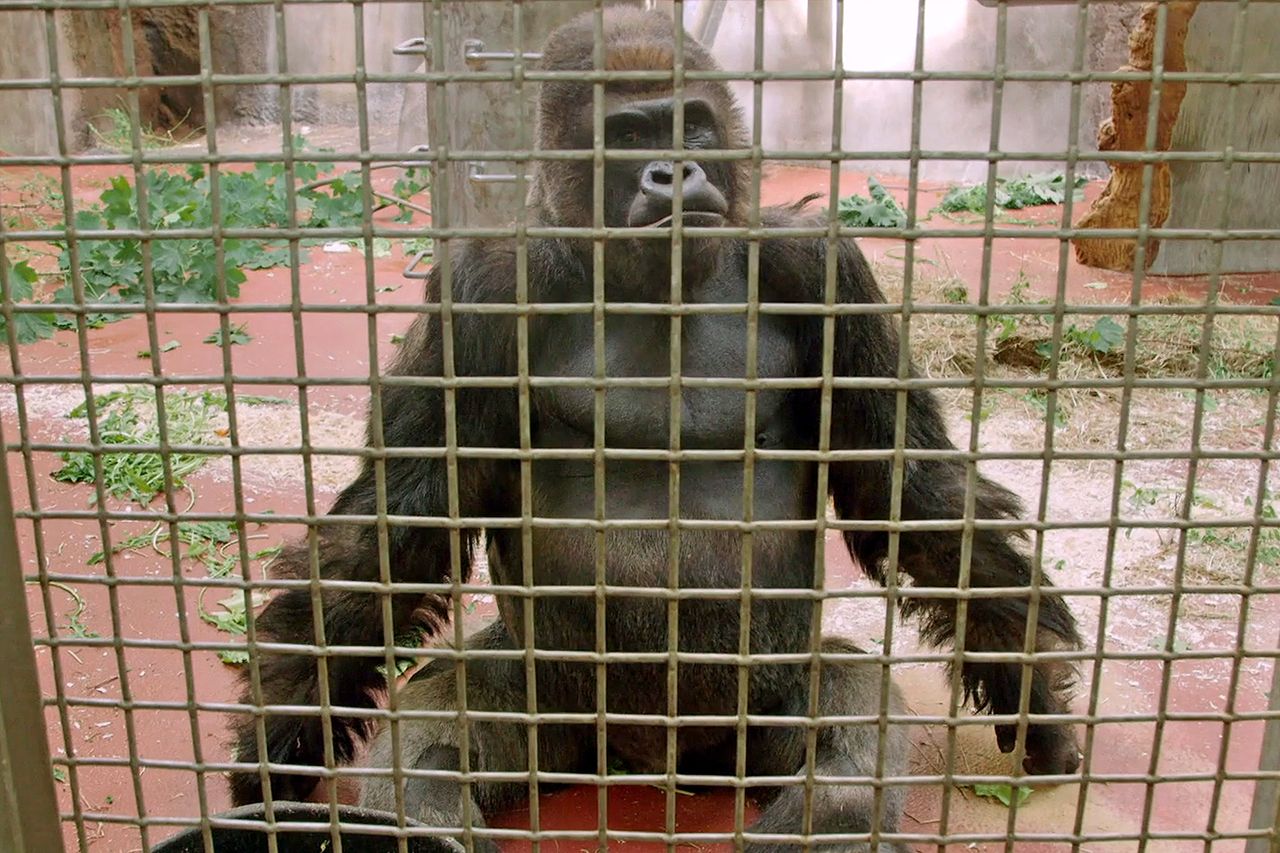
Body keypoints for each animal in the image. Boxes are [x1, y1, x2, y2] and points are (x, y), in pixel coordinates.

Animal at [227, 9, 1082, 852]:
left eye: (690, 125)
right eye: (630, 134)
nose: (674, 172)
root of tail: (646, 767)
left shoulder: (823, 269)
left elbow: (908, 487)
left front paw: (1028, 679)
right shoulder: (479, 293)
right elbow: (398, 523)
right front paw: (276, 740)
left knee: (846, 718)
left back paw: (824, 819)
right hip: (556, 708)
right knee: (436, 733)